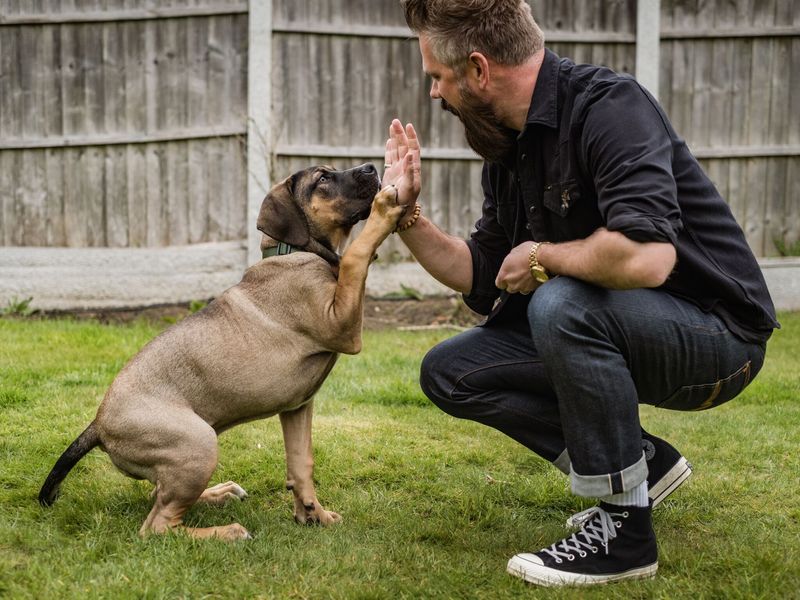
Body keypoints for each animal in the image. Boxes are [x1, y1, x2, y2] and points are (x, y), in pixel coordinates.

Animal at [38, 162, 406, 540]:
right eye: (322, 178)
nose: (371, 168)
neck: (293, 250)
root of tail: (97, 424)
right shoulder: (342, 325)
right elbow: (356, 258)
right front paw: (385, 210)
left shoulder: (297, 406)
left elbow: (302, 463)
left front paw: (313, 514)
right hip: (197, 443)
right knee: (158, 526)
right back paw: (227, 531)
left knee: (160, 496)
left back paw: (220, 493)